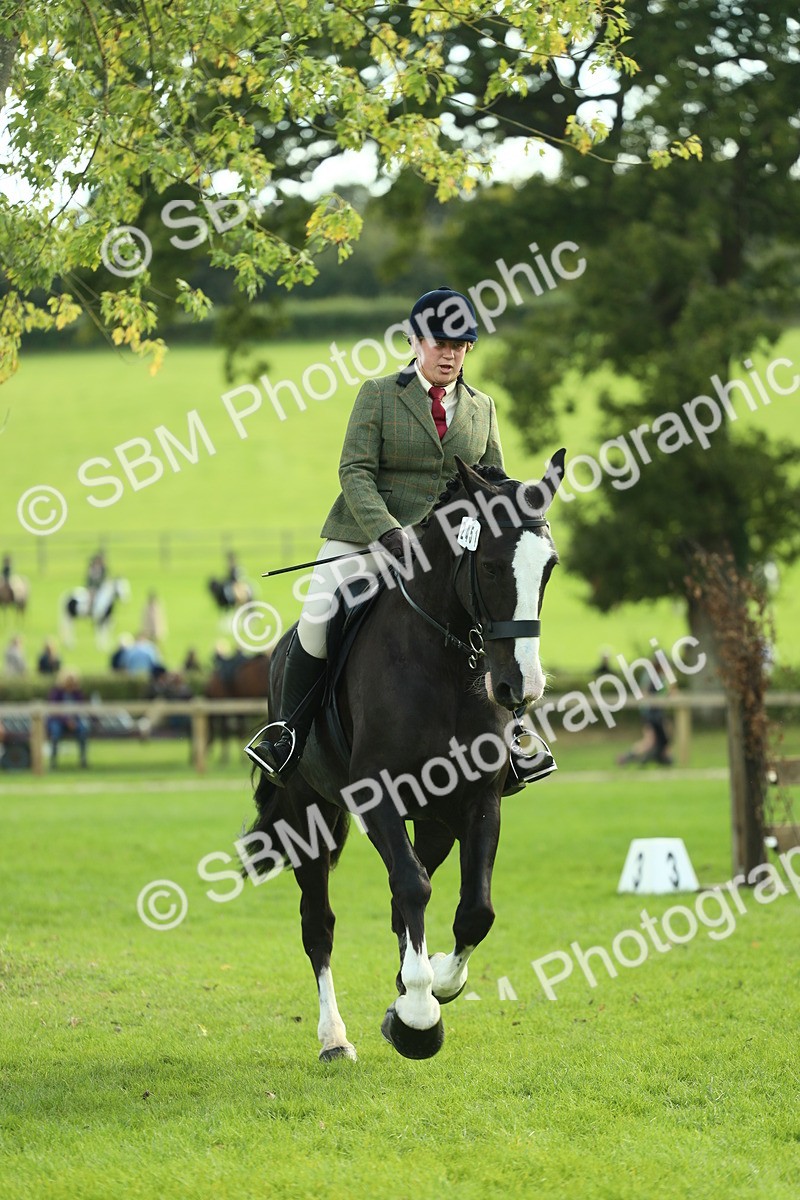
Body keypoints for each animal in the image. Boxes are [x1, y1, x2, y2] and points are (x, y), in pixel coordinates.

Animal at [242, 452, 565, 1063]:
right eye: (490, 567)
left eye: (549, 568)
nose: (520, 688)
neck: (447, 660)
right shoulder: (376, 796)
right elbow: (412, 888)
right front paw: (418, 1019)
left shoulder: (478, 799)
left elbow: (474, 910)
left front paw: (432, 987)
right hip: (305, 811)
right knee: (319, 924)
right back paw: (335, 1038)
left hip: (435, 819)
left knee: (407, 897)